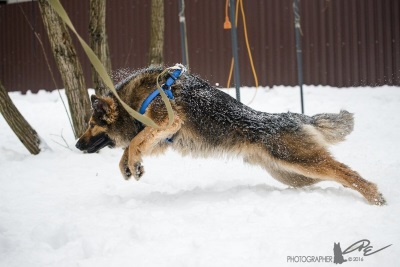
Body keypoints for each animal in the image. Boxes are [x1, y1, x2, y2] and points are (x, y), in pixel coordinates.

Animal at [74, 66, 384, 206]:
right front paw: (130, 166)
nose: (77, 144)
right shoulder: (160, 136)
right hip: (293, 174)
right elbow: (131, 147)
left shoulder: (166, 124)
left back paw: (374, 196)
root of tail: (292, 117)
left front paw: (132, 162)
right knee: (337, 175)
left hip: (301, 162)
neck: (133, 99)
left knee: (346, 172)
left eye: (89, 124)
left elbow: (136, 141)